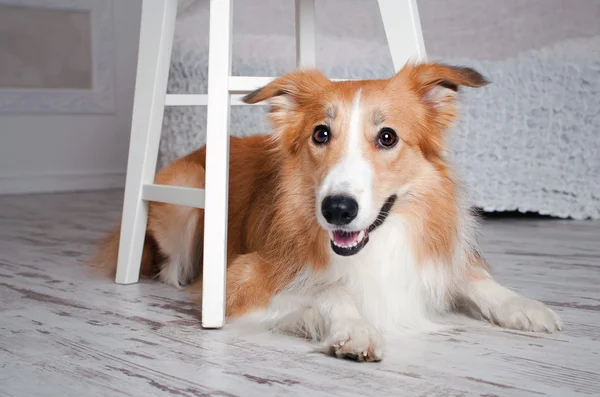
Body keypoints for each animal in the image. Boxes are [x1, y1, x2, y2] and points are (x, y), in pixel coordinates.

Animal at [94, 60, 564, 360]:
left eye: (388, 136)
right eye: (321, 133)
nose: (337, 209)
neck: (378, 245)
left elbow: (475, 279)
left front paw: (524, 306)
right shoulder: (242, 280)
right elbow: (331, 291)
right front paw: (351, 328)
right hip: (186, 197)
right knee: (171, 267)